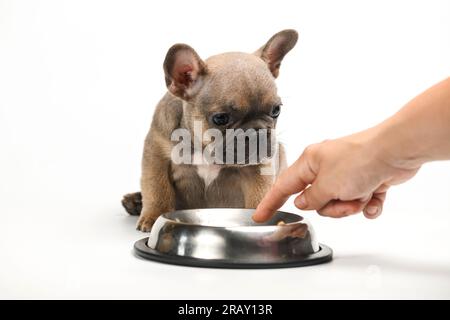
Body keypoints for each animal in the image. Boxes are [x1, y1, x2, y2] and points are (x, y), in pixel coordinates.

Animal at [123, 29, 298, 230]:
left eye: (276, 110)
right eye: (220, 118)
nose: (257, 132)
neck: (203, 147)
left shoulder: (258, 170)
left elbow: (259, 197)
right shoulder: (157, 155)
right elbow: (157, 188)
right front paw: (154, 216)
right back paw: (136, 201)